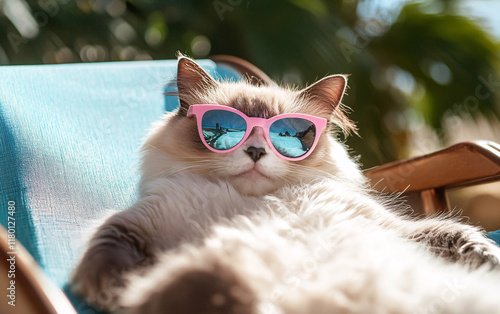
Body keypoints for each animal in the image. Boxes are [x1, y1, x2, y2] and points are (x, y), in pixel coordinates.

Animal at [71, 57, 500, 314]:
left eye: (288, 134)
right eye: (224, 129)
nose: (256, 151)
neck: (254, 204)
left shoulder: (391, 227)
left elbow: (458, 235)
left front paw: (487, 256)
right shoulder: (138, 223)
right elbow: (108, 251)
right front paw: (117, 291)